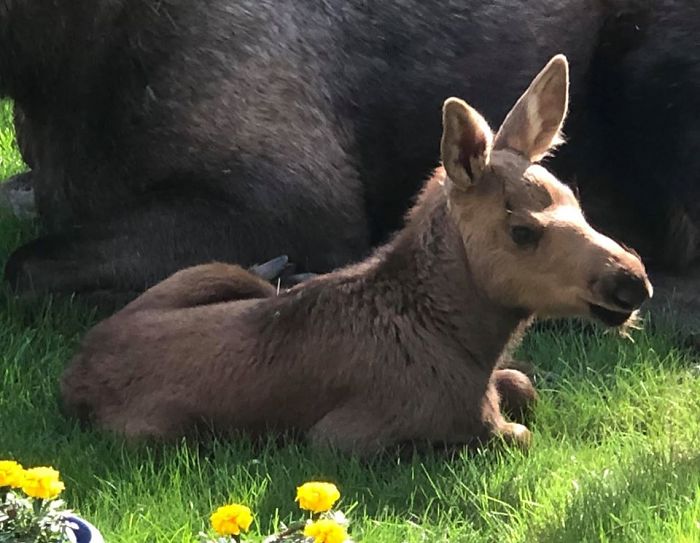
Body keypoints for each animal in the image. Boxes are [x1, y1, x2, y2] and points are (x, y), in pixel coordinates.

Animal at [58, 55, 652, 456]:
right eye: (522, 230)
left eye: (576, 201)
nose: (633, 279)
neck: (468, 343)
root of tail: (77, 368)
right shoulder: (344, 438)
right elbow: (515, 433)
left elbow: (525, 384)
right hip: (158, 430)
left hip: (208, 273)